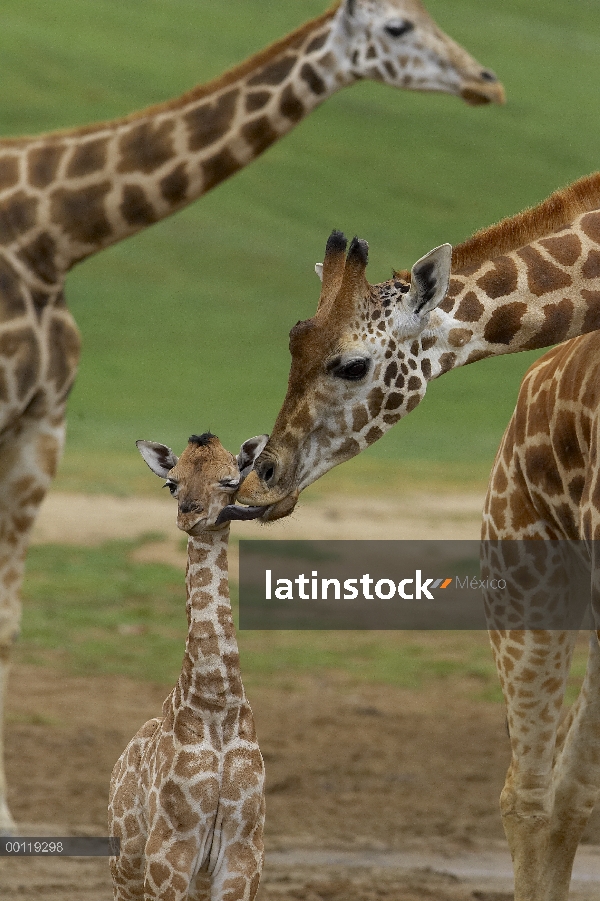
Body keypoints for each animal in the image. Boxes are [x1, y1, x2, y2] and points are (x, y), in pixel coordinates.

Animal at [0, 0, 502, 832]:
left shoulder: (45, 419)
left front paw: (9, 816)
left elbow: (8, 620)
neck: (52, 233)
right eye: (397, 27)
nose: (486, 80)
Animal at [107, 430, 268, 900]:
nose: (189, 515)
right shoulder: (170, 851)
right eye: (171, 484)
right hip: (126, 862)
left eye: (231, 480)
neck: (216, 703)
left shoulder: (244, 854)